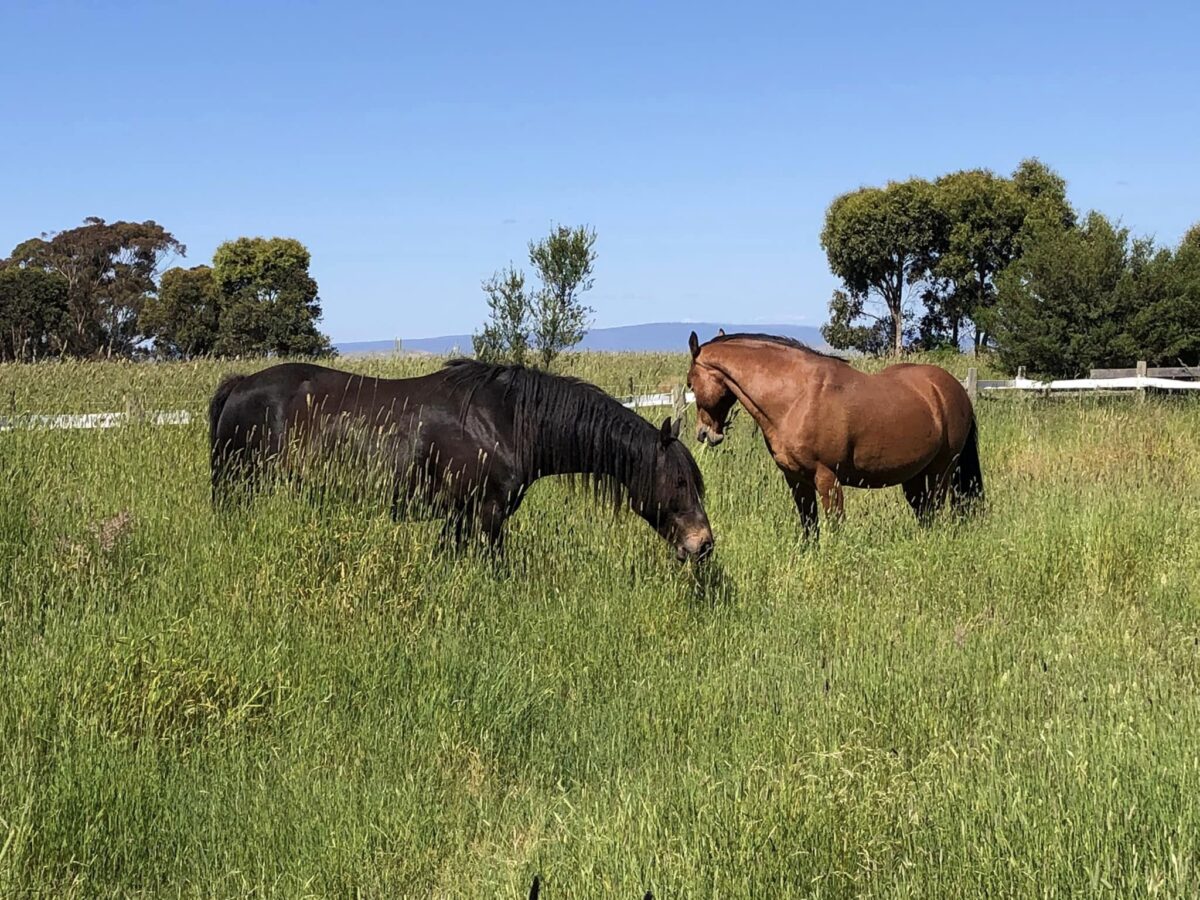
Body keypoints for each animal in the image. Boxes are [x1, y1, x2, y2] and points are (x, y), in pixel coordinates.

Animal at [208, 359, 714, 561]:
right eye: (680, 483)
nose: (704, 544)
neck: (507, 419)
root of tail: (240, 384)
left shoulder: (458, 517)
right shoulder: (486, 515)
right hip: (239, 485)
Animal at [686, 331, 983, 538]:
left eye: (690, 382)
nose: (704, 433)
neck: (797, 397)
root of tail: (953, 389)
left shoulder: (828, 477)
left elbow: (835, 526)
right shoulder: (796, 480)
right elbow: (809, 526)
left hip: (940, 471)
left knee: (935, 511)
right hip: (914, 477)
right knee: (924, 513)